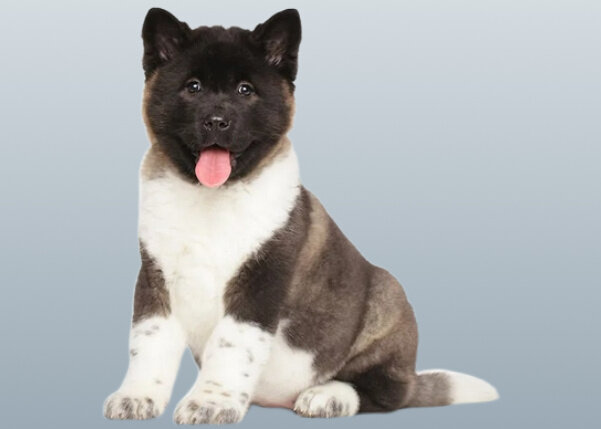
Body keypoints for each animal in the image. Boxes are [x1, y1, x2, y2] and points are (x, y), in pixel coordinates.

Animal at [103, 8, 498, 424]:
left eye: (245, 90)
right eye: (192, 87)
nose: (216, 121)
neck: (212, 198)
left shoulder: (260, 283)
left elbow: (231, 345)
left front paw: (211, 403)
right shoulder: (155, 278)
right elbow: (149, 341)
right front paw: (138, 396)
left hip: (388, 298)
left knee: (385, 391)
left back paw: (327, 396)